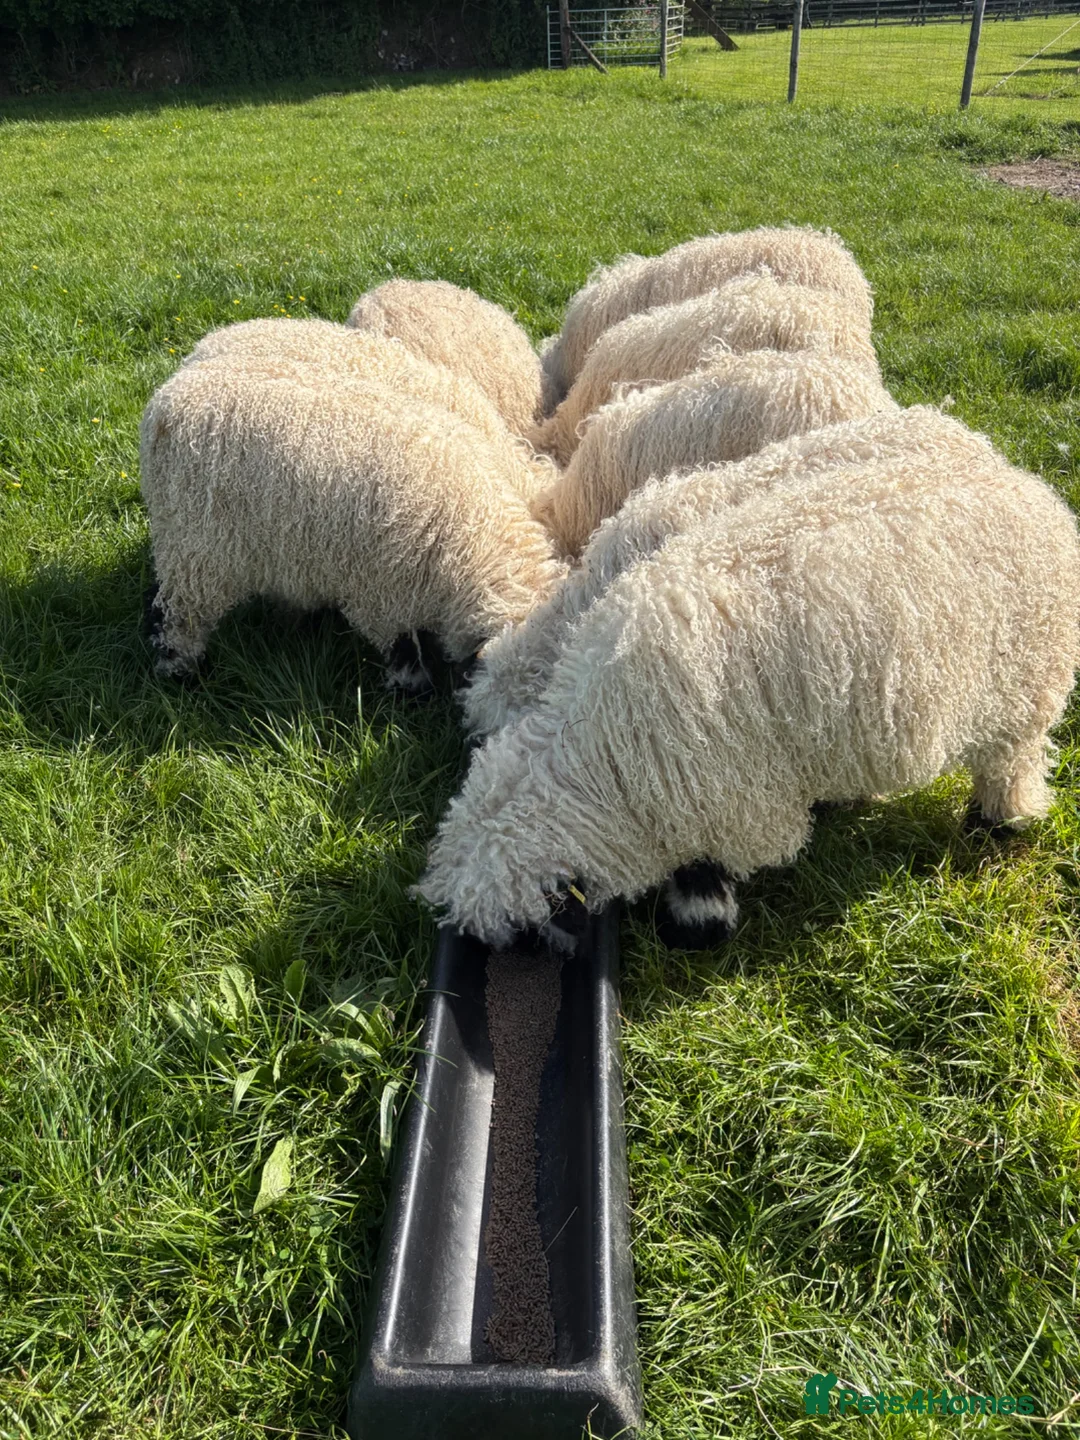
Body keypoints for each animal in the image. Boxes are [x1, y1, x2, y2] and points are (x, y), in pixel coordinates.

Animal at [140, 359, 566, 690]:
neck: (475, 537)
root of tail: (166, 400)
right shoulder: (381, 592)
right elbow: (402, 647)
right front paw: (410, 686)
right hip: (195, 544)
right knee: (174, 613)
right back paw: (180, 672)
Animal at [418, 450, 1080, 952]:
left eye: (520, 938)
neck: (604, 753)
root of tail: (1026, 485)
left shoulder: (731, 794)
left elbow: (708, 860)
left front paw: (700, 920)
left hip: (1025, 694)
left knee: (1012, 761)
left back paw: (1001, 821)